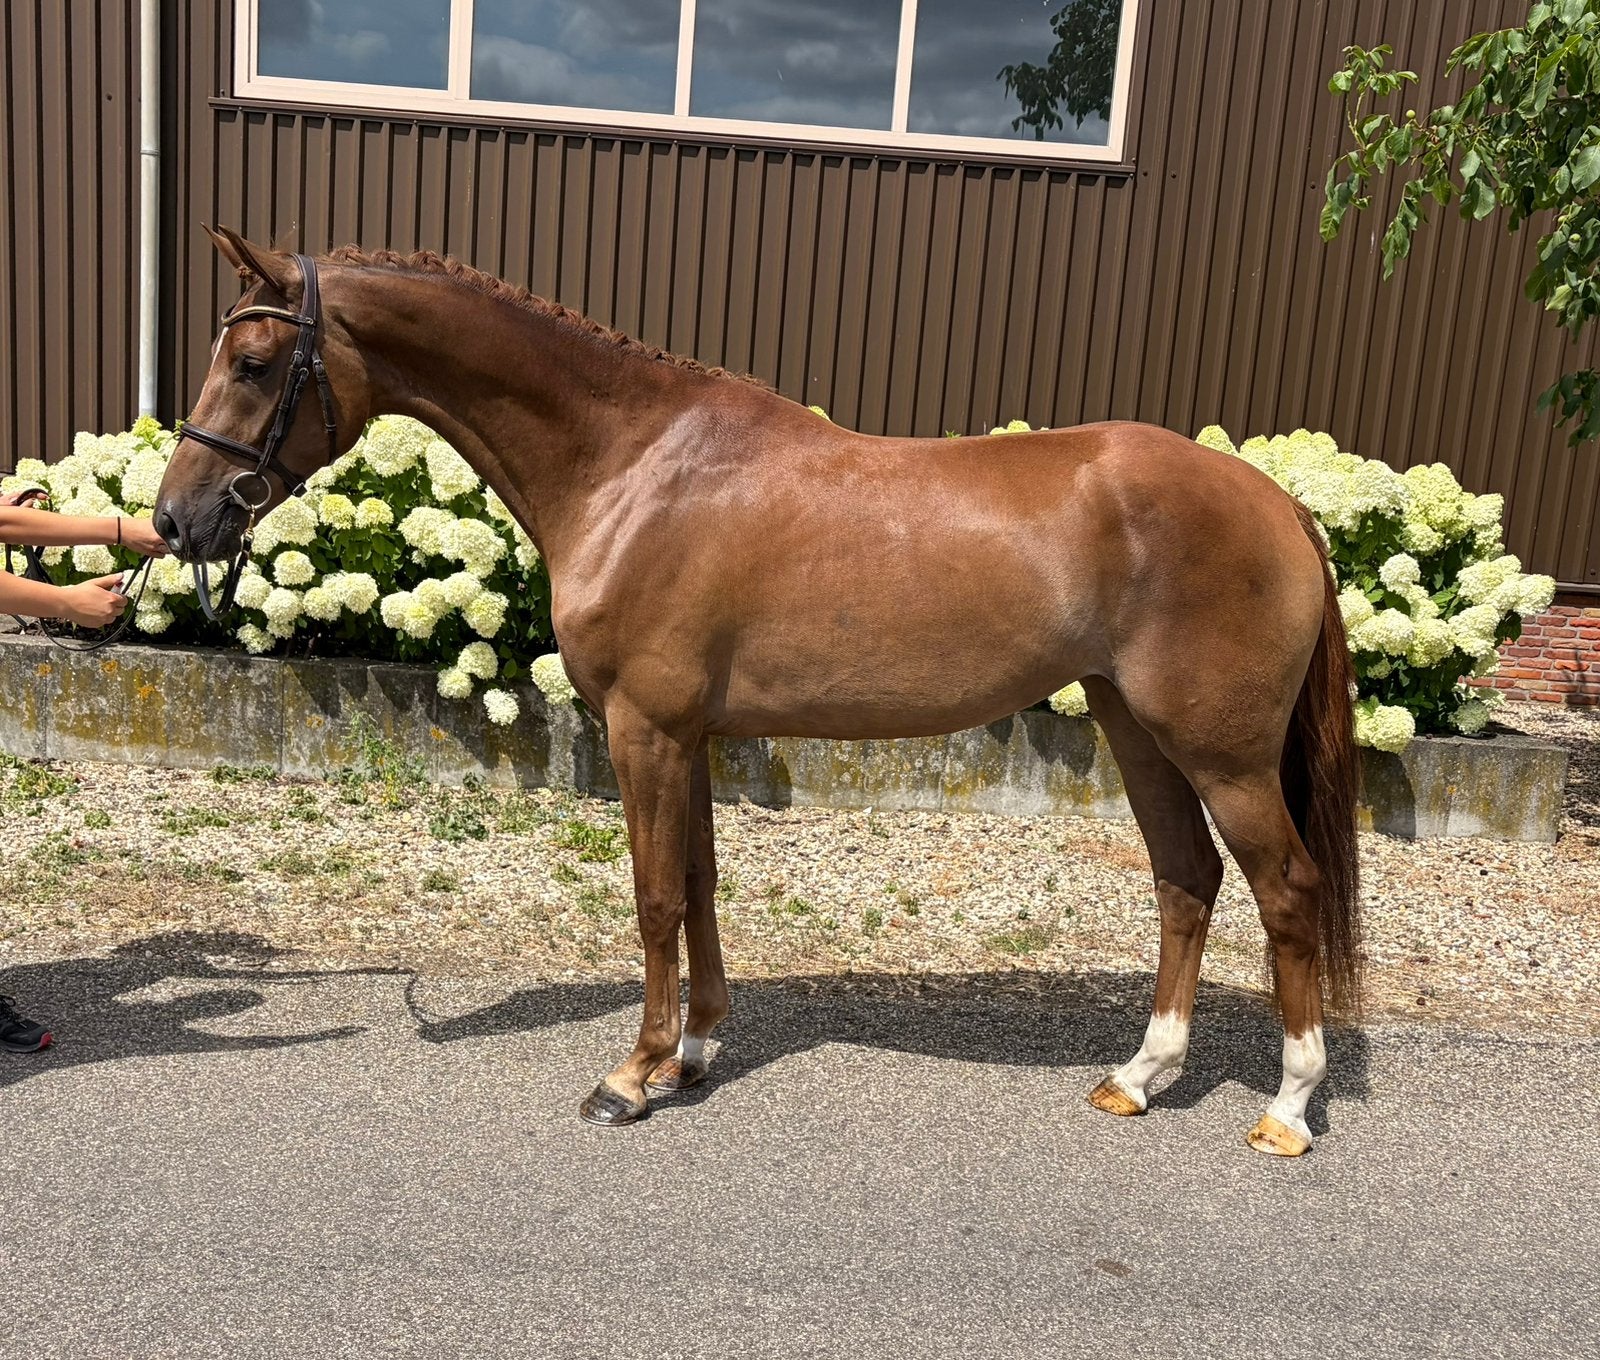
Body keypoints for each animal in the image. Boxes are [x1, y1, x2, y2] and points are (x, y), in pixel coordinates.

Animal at [153, 227, 1361, 1157]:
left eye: (253, 360)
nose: (176, 518)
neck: (632, 464)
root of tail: (1281, 505)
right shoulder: (685, 734)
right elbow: (698, 886)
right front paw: (692, 1052)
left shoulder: (643, 729)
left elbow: (652, 898)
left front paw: (630, 1077)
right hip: (1136, 727)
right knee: (1185, 881)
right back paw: (1141, 1075)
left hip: (1220, 751)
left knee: (1286, 890)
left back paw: (1289, 1107)